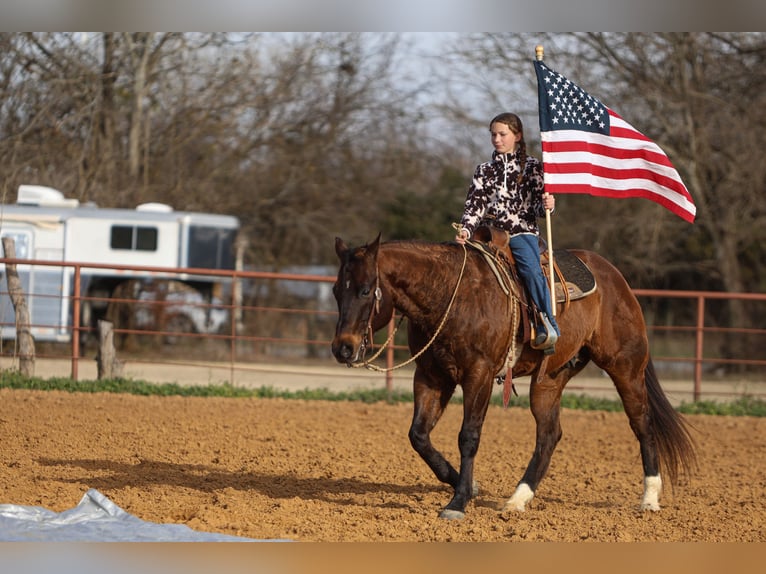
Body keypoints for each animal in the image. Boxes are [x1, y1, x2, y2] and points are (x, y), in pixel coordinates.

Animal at [332, 234, 700, 520]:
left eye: (365, 290)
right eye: (337, 291)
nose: (342, 348)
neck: (451, 293)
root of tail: (615, 277)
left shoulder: (478, 374)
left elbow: (468, 436)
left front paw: (458, 501)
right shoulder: (431, 376)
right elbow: (418, 436)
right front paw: (467, 485)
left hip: (625, 366)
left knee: (642, 423)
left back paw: (649, 498)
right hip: (550, 378)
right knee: (549, 434)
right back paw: (517, 499)